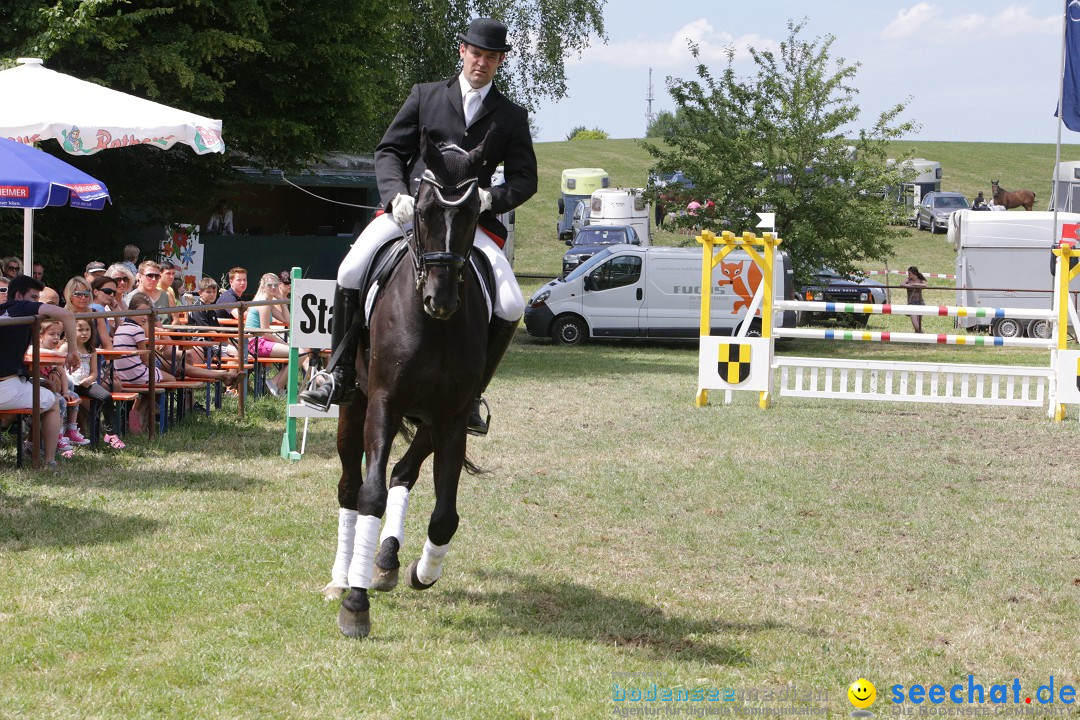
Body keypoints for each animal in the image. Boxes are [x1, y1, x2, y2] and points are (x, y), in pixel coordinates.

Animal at [330, 127, 492, 634]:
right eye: (422, 210)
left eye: (474, 213)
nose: (441, 300)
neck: (434, 327)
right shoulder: (384, 402)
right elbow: (371, 495)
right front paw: (355, 603)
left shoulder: (452, 417)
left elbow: (444, 515)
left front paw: (423, 570)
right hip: (355, 404)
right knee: (349, 486)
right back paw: (342, 576)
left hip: (429, 421)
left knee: (405, 470)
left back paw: (386, 560)